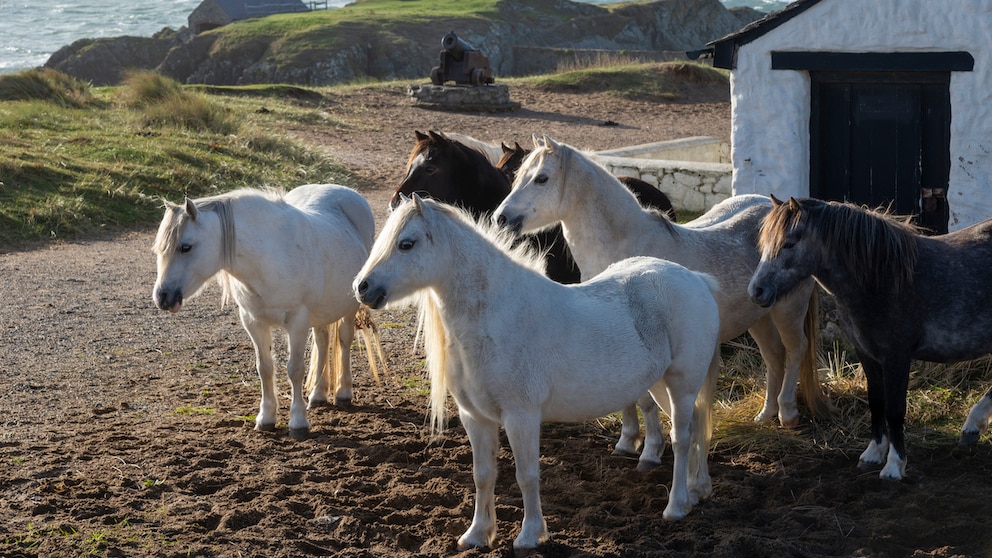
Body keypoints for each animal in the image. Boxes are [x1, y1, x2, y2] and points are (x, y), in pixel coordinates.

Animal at [152, 184, 384, 438]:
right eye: (159, 250)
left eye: (185, 247)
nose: (162, 297)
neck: (269, 257)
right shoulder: (253, 322)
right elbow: (264, 368)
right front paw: (266, 418)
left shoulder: (297, 322)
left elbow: (295, 369)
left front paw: (298, 422)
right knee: (322, 341)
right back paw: (318, 394)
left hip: (350, 306)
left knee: (343, 341)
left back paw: (343, 392)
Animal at [356, 196, 720, 552]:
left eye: (406, 244)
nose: (362, 288)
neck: (496, 315)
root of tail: (695, 279)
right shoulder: (475, 417)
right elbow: (483, 475)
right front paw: (477, 535)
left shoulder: (521, 417)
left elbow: (526, 475)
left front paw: (531, 535)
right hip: (659, 385)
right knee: (696, 426)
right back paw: (697, 490)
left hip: (682, 384)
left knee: (682, 438)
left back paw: (676, 506)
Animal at [492, 136, 824, 428]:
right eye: (517, 175)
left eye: (541, 178)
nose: (500, 218)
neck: (627, 244)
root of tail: (783, 209)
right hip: (758, 313)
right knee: (774, 356)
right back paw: (765, 415)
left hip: (788, 309)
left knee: (796, 350)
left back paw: (787, 414)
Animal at [748, 196, 992, 482]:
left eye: (788, 243)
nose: (756, 291)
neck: (881, 278)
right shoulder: (866, 353)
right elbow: (876, 402)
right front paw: (873, 453)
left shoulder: (897, 356)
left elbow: (895, 410)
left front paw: (894, 465)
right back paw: (973, 426)